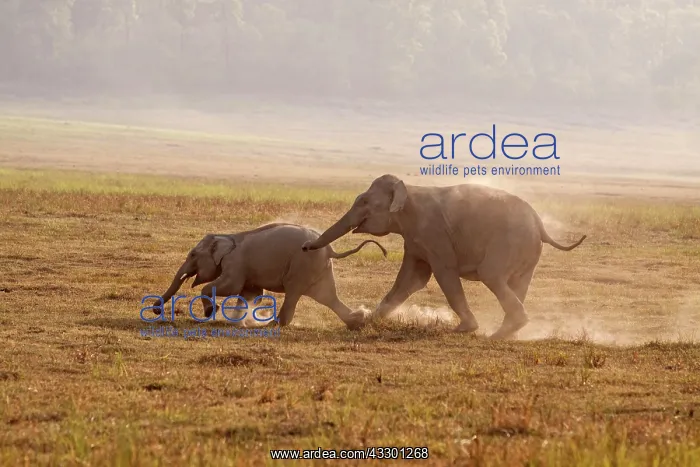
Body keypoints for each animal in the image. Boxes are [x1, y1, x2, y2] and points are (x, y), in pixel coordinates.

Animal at [153, 223, 387, 329]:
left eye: (193, 254)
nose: (156, 310)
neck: (226, 236)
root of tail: (330, 249)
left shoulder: (236, 263)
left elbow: (230, 286)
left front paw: (212, 311)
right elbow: (250, 293)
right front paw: (237, 321)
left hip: (302, 265)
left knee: (294, 293)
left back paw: (274, 324)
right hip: (319, 268)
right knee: (327, 297)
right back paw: (358, 321)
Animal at [301, 174, 587, 339]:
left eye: (363, 202)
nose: (304, 247)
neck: (408, 190)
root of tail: (540, 224)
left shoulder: (434, 234)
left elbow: (443, 273)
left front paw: (464, 329)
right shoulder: (415, 240)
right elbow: (410, 280)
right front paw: (366, 321)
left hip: (509, 243)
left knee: (491, 276)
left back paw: (495, 335)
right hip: (526, 252)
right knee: (516, 284)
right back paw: (508, 334)